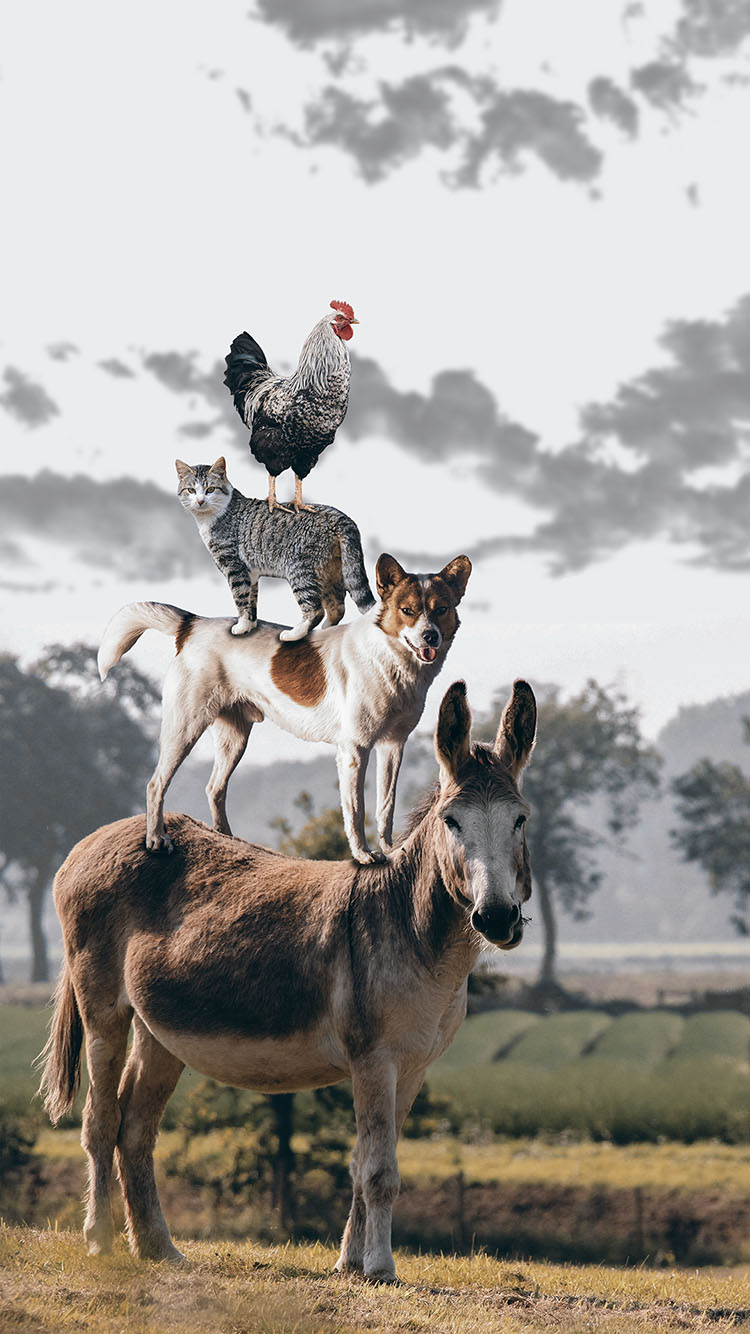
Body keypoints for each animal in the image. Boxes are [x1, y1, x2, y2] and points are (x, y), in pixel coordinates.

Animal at [96, 552, 469, 864]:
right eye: (407, 610)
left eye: (441, 609)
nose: (430, 637)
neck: (389, 657)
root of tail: (192, 624)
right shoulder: (355, 750)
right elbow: (356, 809)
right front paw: (363, 855)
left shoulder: (393, 745)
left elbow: (385, 807)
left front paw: (391, 849)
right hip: (184, 728)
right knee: (156, 783)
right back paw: (156, 839)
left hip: (234, 739)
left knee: (214, 788)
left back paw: (229, 841)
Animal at [174, 458, 373, 640]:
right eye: (191, 490)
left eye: (210, 489)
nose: (200, 501)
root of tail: (341, 518)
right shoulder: (250, 572)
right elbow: (251, 600)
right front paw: (249, 626)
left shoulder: (234, 567)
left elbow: (240, 597)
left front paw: (241, 625)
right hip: (330, 571)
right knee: (337, 606)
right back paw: (325, 631)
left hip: (300, 569)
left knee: (316, 610)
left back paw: (294, 634)